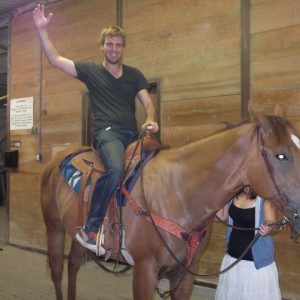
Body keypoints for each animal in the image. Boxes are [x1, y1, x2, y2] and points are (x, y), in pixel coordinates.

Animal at [40, 106, 300, 300]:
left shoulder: (185, 275)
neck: (177, 195)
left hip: (75, 233)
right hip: (54, 228)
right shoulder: (144, 271)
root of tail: (56, 159)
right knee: (57, 270)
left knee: (73, 266)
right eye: (281, 155)